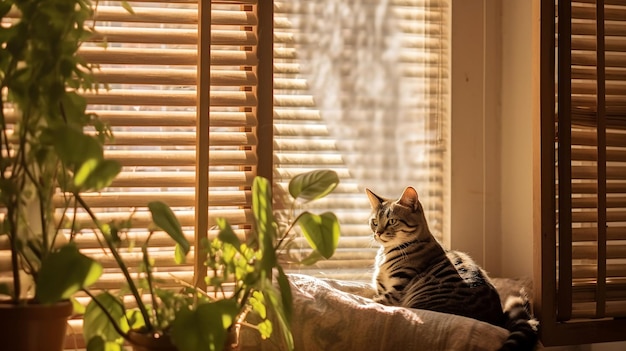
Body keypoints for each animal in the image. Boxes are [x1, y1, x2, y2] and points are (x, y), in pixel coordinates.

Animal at [366, 186, 536, 350]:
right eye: (374, 222)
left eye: (392, 221)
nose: (378, 233)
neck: (386, 253)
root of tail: (499, 319)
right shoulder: (380, 289)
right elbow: (368, 293)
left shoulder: (396, 291)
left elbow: (373, 299)